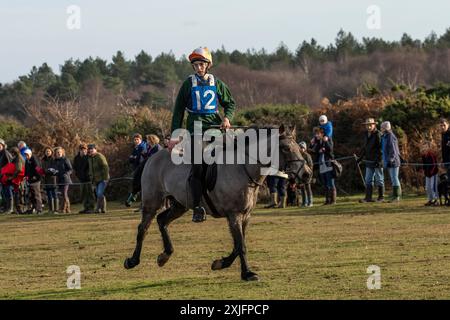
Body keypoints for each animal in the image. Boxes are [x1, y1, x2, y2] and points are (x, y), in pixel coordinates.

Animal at [123, 125, 310, 280]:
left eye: (299, 148)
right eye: (286, 148)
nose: (307, 174)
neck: (243, 169)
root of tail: (152, 156)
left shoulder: (245, 216)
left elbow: (238, 244)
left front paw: (220, 263)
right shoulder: (233, 215)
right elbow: (240, 245)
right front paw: (247, 273)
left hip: (179, 204)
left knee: (162, 220)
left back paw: (165, 255)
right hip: (151, 203)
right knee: (143, 229)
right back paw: (132, 260)